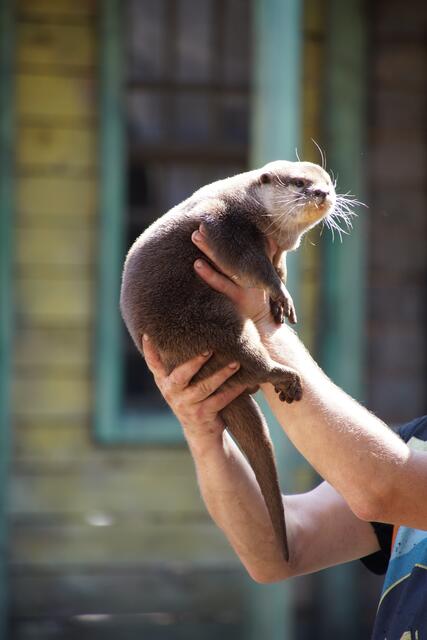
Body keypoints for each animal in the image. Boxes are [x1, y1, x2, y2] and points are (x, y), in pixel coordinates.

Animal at [120, 160, 336, 562]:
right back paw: (285, 377)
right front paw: (280, 293)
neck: (252, 207)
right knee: (248, 356)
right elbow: (253, 264)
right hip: (212, 326)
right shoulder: (221, 225)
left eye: (327, 182)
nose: (322, 193)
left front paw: (280, 288)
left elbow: (277, 263)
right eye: (301, 183)